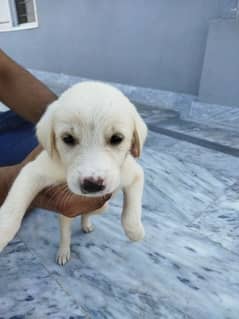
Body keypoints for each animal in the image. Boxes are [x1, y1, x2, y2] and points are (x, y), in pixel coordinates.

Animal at [0, 82, 148, 264]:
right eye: (68, 138)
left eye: (117, 138)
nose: (92, 186)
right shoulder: (32, 171)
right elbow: (12, 212)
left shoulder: (134, 174)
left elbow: (131, 213)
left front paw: (136, 233)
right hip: (66, 215)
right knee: (66, 233)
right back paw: (64, 252)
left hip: (102, 207)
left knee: (87, 214)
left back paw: (86, 224)